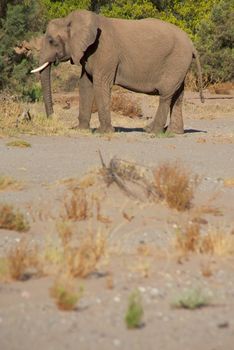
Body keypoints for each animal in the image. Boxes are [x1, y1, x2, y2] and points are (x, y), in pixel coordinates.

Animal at [32, 10, 204, 134]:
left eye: (51, 41)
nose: (53, 119)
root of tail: (192, 44)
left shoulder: (105, 51)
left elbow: (100, 85)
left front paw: (102, 132)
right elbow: (85, 84)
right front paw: (80, 130)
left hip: (175, 61)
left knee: (166, 95)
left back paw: (152, 131)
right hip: (179, 65)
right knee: (178, 95)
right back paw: (173, 133)